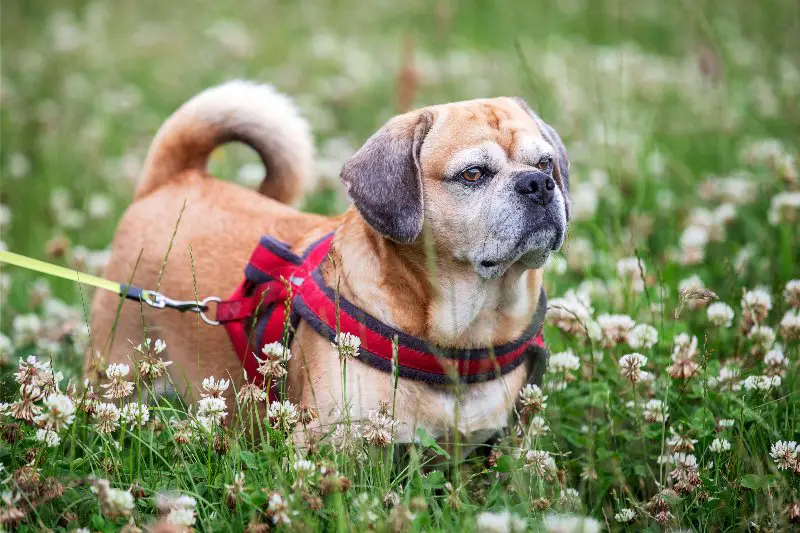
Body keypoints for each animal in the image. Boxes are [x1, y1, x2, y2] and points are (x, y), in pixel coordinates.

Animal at [86, 80, 568, 444]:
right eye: (473, 175)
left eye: (546, 163)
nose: (538, 184)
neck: (465, 335)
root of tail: (174, 179)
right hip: (118, 371)